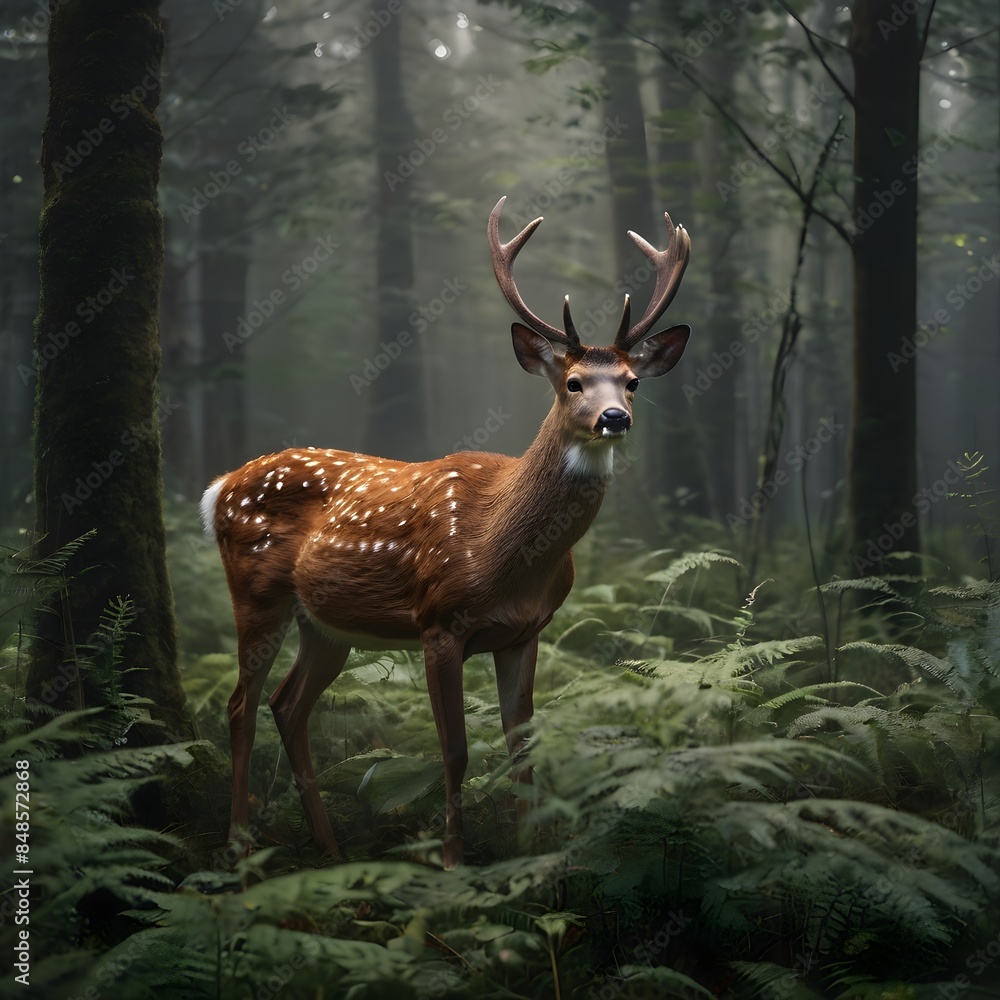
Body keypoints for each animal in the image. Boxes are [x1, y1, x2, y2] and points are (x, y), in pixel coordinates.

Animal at [201, 196, 691, 868]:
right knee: (240, 704)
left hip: (325, 623)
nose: (614, 417)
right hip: (255, 591)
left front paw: (530, 860)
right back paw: (240, 848)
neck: (500, 552)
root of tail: (220, 487)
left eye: (632, 381)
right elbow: (453, 751)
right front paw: (454, 861)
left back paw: (329, 848)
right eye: (572, 383)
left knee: (288, 705)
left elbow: (521, 748)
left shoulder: (525, 632)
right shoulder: (438, 621)